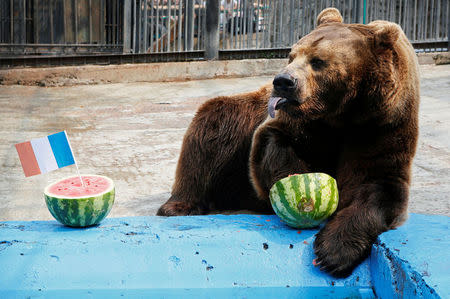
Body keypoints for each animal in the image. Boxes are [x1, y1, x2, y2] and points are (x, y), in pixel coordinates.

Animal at [156, 7, 420, 278]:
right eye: (291, 56)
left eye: (318, 61)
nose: (283, 81)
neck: (342, 113)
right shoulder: (298, 121)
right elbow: (275, 145)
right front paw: (300, 193)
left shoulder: (382, 125)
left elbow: (380, 186)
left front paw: (334, 252)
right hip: (236, 125)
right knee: (211, 129)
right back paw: (179, 206)